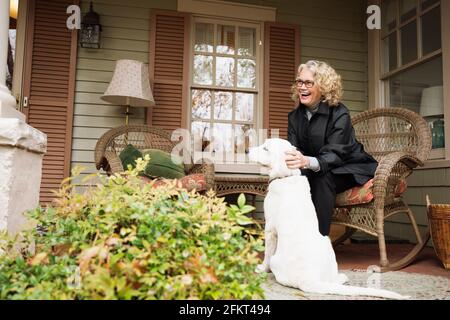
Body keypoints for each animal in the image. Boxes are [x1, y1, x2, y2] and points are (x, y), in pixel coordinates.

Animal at [250, 138, 408, 300]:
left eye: (266, 149)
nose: (247, 150)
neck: (288, 176)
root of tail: (309, 280)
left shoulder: (269, 229)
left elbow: (267, 253)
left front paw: (262, 269)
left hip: (279, 259)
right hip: (326, 242)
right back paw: (342, 277)